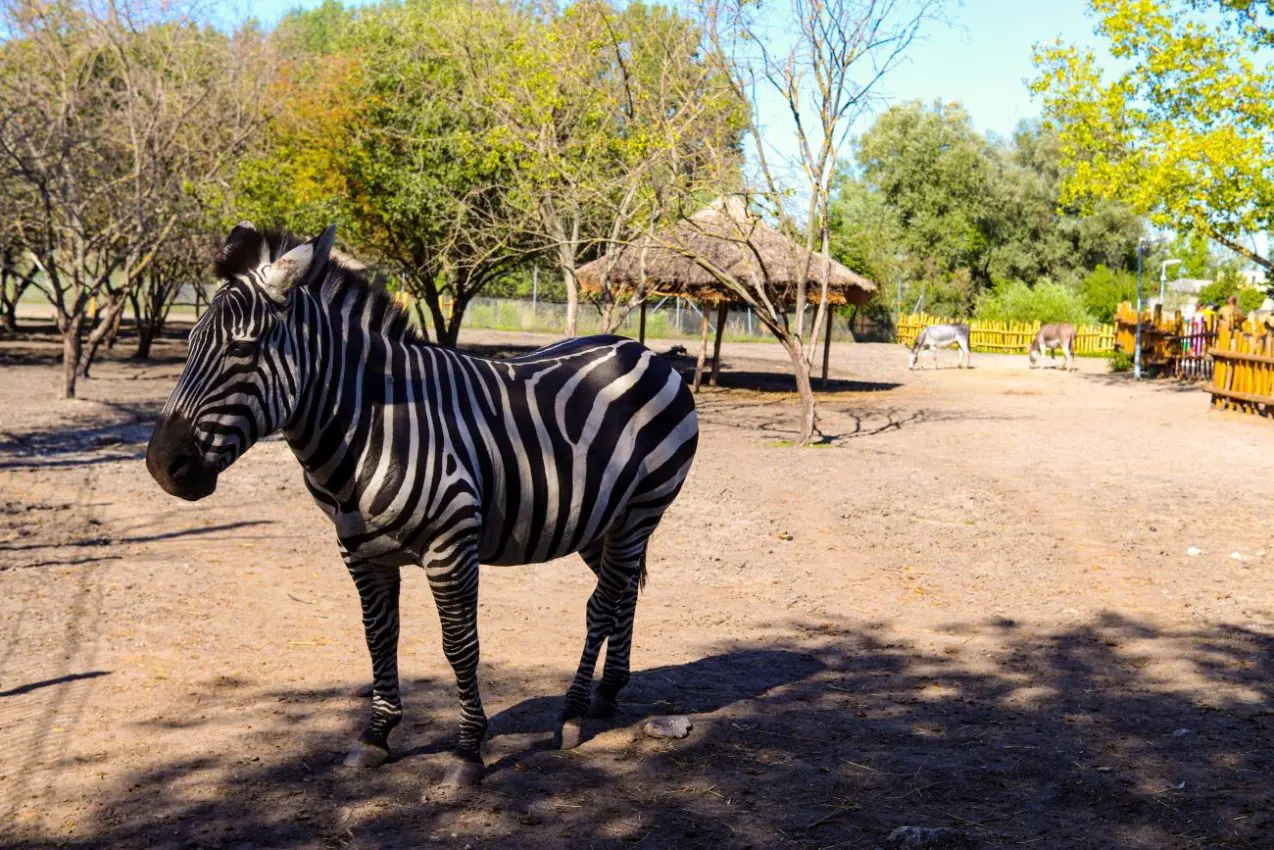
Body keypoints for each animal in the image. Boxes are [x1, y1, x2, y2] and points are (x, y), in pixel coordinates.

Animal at [150, 223, 708, 790]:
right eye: (189, 344)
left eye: (243, 349)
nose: (161, 465)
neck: (368, 425)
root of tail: (639, 349)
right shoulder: (358, 551)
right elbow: (379, 637)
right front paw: (376, 736)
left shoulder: (451, 545)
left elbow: (459, 645)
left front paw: (467, 751)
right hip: (599, 519)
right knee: (623, 592)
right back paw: (608, 693)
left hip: (641, 510)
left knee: (602, 602)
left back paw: (573, 711)